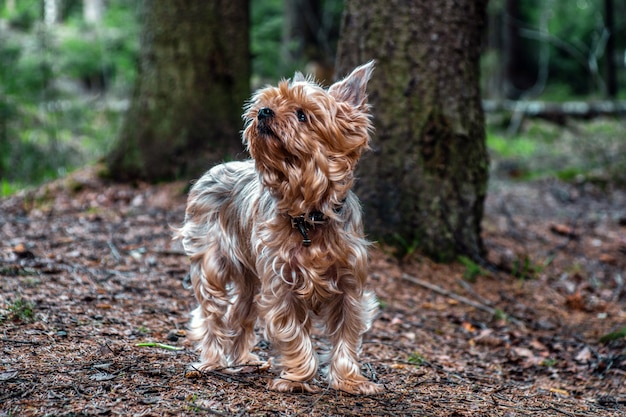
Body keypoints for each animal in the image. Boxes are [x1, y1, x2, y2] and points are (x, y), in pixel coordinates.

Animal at [176, 61, 380, 394]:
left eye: (302, 114)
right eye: (269, 101)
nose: (263, 112)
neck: (309, 215)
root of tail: (215, 168)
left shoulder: (350, 287)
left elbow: (347, 336)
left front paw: (350, 380)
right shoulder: (281, 285)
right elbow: (293, 333)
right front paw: (296, 378)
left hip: (250, 278)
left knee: (241, 311)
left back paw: (243, 360)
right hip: (211, 264)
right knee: (212, 314)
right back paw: (211, 361)